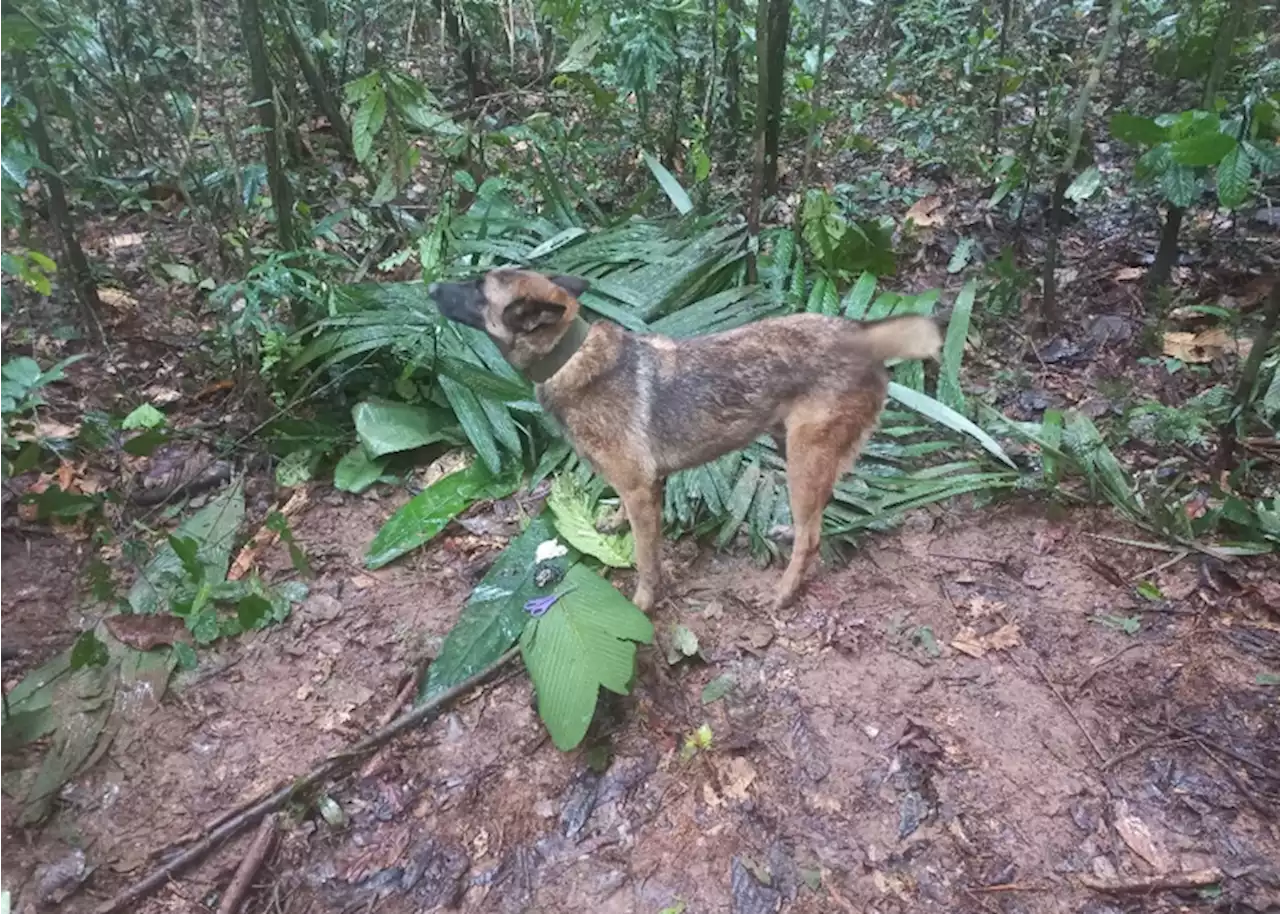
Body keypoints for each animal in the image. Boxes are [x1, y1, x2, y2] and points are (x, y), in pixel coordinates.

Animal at [430, 270, 942, 611]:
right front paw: (614, 523)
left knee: (813, 534)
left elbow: (645, 560)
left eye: (477, 288)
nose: (430, 287)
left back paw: (784, 591)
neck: (569, 357)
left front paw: (642, 603)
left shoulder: (641, 490)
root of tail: (861, 335)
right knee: (818, 511)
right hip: (791, 447)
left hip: (804, 456)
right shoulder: (642, 487)